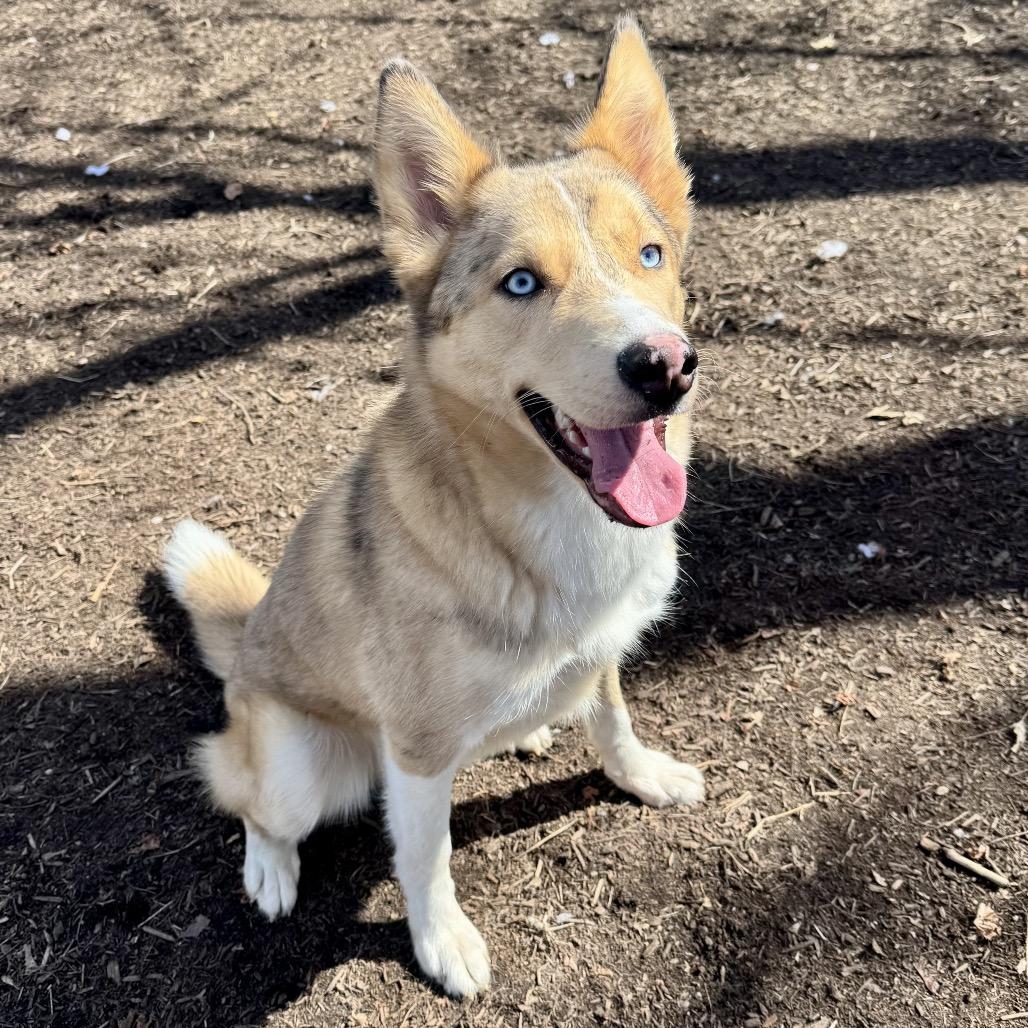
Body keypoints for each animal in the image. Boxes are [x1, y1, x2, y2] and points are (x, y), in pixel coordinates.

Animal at [163, 16, 705, 998]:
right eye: (522, 283)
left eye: (649, 255)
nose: (666, 366)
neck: (548, 526)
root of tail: (248, 637)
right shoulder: (413, 755)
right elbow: (426, 856)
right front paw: (441, 939)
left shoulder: (604, 651)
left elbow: (612, 717)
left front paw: (641, 773)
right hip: (300, 765)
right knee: (250, 801)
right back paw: (270, 867)